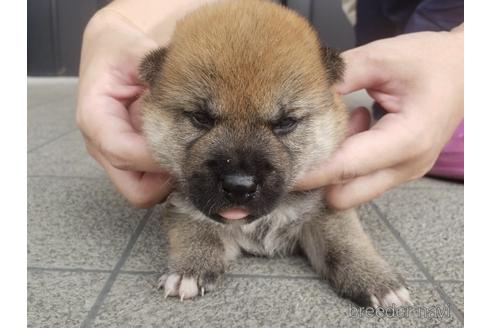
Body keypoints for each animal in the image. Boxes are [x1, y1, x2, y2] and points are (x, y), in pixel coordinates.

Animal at [138, 0, 412, 308]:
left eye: (285, 122)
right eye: (200, 118)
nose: (239, 186)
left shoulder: (326, 207)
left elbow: (345, 240)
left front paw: (375, 279)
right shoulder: (183, 204)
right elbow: (195, 230)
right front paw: (189, 268)